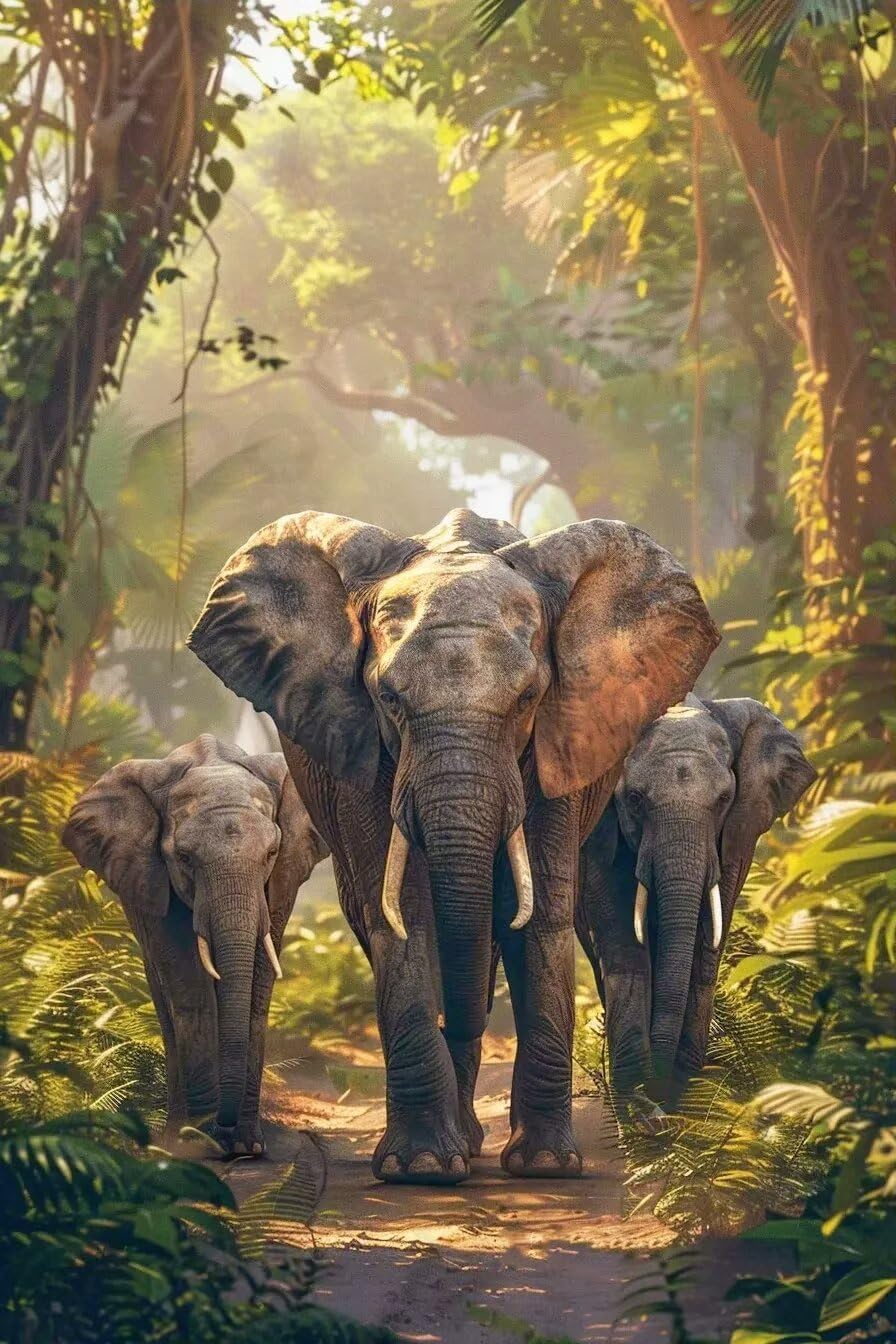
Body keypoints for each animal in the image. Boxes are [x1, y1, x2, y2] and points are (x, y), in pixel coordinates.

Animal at [63, 734, 328, 1156]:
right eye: (184, 858)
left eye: (271, 854)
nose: (226, 1133)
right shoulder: (152, 874)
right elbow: (188, 981)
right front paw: (203, 1144)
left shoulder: (282, 877)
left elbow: (257, 983)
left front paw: (247, 1147)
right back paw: (175, 1136)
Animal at [187, 507, 719, 1184]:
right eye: (389, 700)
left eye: (527, 700)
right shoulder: (361, 747)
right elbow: (405, 914)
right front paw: (421, 1167)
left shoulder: (561, 743)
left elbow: (537, 913)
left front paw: (546, 1166)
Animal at [576, 694, 816, 1105]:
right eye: (634, 799)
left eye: (724, 799)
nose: (657, 1092)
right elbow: (621, 931)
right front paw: (634, 1091)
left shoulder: (739, 828)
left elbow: (709, 934)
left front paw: (684, 1083)